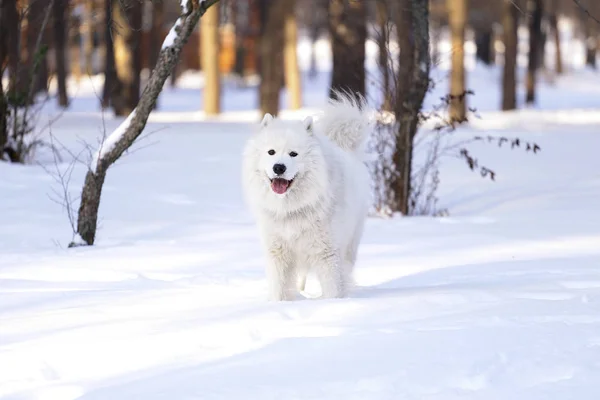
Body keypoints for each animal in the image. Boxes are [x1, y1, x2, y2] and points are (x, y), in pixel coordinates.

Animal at [240, 93, 370, 300]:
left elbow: (333, 288)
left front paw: (336, 303)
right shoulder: (278, 253)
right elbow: (279, 289)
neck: (291, 209)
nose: (279, 167)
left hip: (350, 245)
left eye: (293, 154)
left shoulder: (327, 253)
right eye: (271, 152)